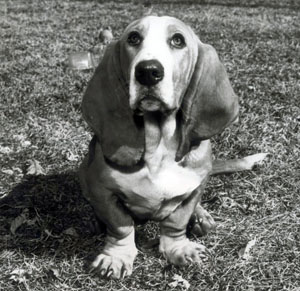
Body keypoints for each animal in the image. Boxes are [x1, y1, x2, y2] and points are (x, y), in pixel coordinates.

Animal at [79, 14, 264, 280]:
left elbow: (176, 222)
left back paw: (201, 217)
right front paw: (116, 256)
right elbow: (121, 226)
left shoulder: (194, 187)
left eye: (178, 40)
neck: (159, 143)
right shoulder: (102, 189)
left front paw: (178, 249)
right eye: (133, 38)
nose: (148, 71)